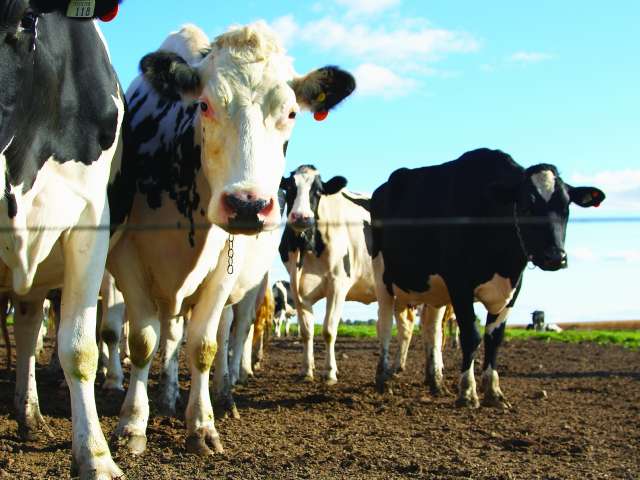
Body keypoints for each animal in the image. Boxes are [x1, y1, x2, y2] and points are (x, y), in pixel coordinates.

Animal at [106, 23, 356, 458]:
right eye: (204, 105)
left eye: (291, 112)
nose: (247, 205)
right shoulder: (127, 261)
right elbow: (142, 340)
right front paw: (133, 423)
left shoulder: (223, 270)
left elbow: (204, 347)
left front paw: (202, 426)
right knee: (171, 335)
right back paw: (168, 396)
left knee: (228, 337)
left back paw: (223, 396)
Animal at [370, 148, 604, 406]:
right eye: (527, 207)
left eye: (566, 209)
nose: (555, 257)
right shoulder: (460, 285)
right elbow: (471, 336)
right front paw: (467, 392)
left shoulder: (513, 289)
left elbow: (495, 337)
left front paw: (493, 391)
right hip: (382, 276)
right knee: (385, 325)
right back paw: (383, 379)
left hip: (434, 290)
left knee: (432, 330)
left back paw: (436, 382)